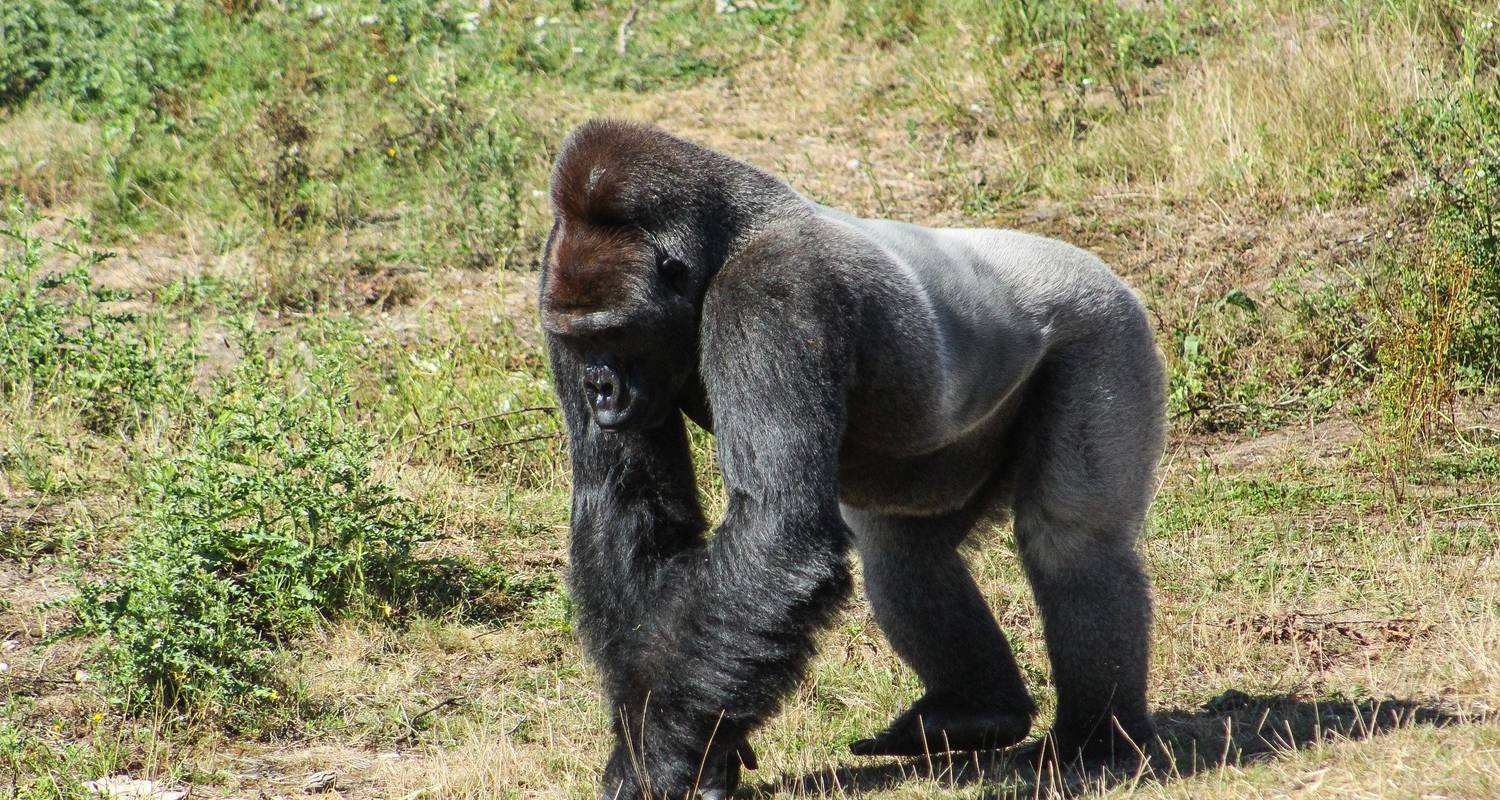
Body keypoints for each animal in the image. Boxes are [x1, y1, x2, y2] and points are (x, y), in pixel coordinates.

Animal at [540, 120, 1170, 798]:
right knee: (904, 555)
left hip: (1105, 327)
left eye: (615, 334)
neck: (721, 244)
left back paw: (1098, 745)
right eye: (580, 341)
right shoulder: (554, 283)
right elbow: (625, 504)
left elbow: (779, 529)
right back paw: (976, 711)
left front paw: (649, 759)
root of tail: (1095, 264)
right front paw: (689, 746)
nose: (598, 388)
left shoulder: (773, 292)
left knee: (1073, 543)